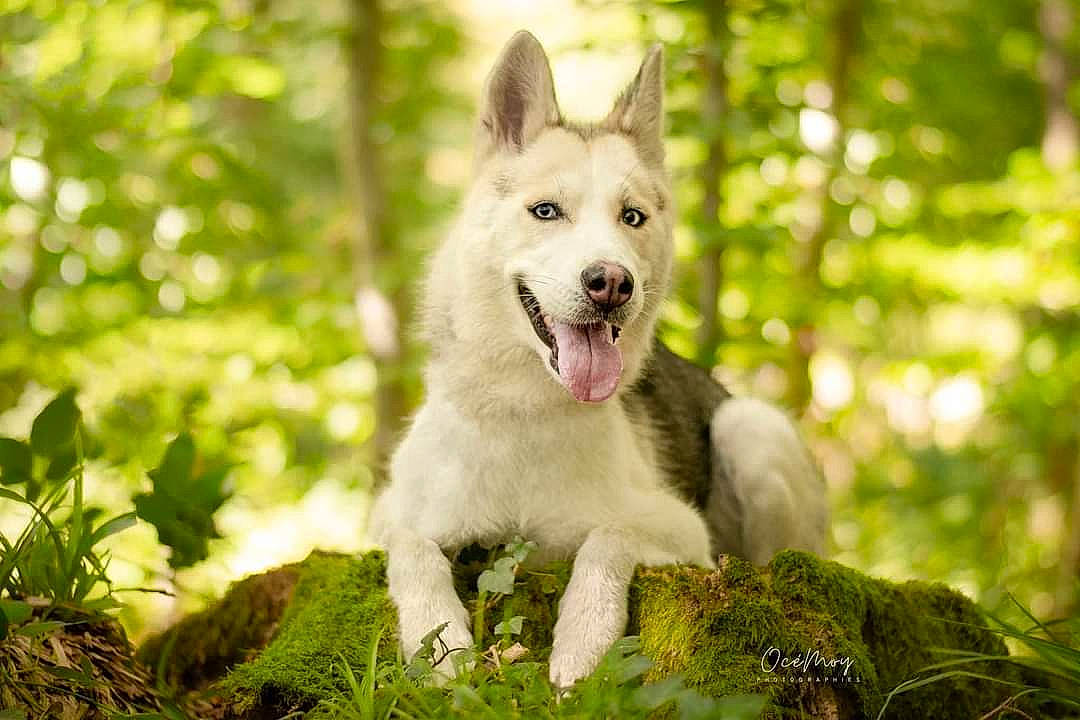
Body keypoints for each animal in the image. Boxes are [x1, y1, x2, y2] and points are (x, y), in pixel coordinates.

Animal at [368, 30, 827, 689]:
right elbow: (413, 550)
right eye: (545, 211)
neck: (526, 414)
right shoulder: (389, 517)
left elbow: (609, 535)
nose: (611, 283)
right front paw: (443, 646)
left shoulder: (681, 531)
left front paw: (583, 643)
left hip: (751, 429)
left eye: (631, 217)